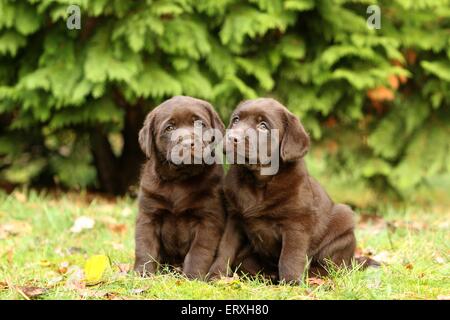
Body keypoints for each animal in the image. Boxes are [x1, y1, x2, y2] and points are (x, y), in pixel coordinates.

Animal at [134, 95, 225, 278]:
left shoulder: (208, 219)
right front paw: (143, 274)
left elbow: (199, 251)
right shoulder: (149, 214)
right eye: (169, 128)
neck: (180, 178)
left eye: (200, 124)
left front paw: (192, 277)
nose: (188, 143)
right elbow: (145, 247)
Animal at [209, 98, 356, 282]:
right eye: (236, 120)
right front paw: (215, 275)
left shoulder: (296, 224)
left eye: (263, 126)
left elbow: (290, 256)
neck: (257, 181)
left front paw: (290, 283)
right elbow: (225, 248)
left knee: (333, 267)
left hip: (344, 224)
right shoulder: (234, 218)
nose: (231, 137)